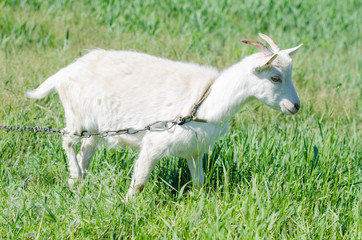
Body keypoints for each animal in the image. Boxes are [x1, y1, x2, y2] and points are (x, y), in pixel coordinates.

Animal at [26, 32, 302, 200]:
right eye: (275, 78)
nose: (296, 106)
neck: (206, 101)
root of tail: (64, 72)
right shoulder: (154, 143)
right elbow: (139, 181)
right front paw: (126, 207)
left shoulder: (195, 149)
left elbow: (199, 181)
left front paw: (199, 204)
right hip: (76, 114)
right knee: (67, 141)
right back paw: (75, 175)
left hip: (95, 125)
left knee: (86, 149)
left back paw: (78, 183)